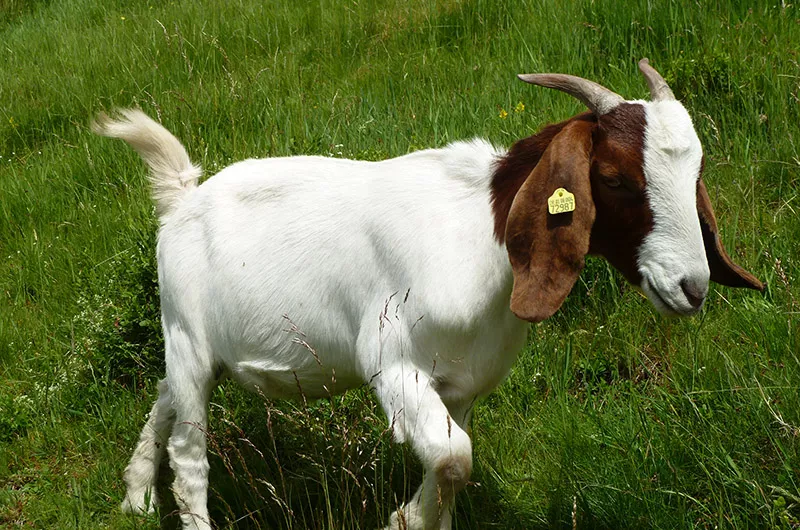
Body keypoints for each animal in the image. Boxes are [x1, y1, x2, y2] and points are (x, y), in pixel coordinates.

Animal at [94, 59, 764, 524]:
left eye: (696, 172)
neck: (480, 236)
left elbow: (450, 469)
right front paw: (401, 519)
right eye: (615, 177)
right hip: (186, 337)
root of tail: (182, 197)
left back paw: (135, 497)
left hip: (195, 353)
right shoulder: (391, 364)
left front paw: (417, 515)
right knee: (189, 455)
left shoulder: (460, 385)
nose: (692, 286)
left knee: (162, 400)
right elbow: (454, 459)